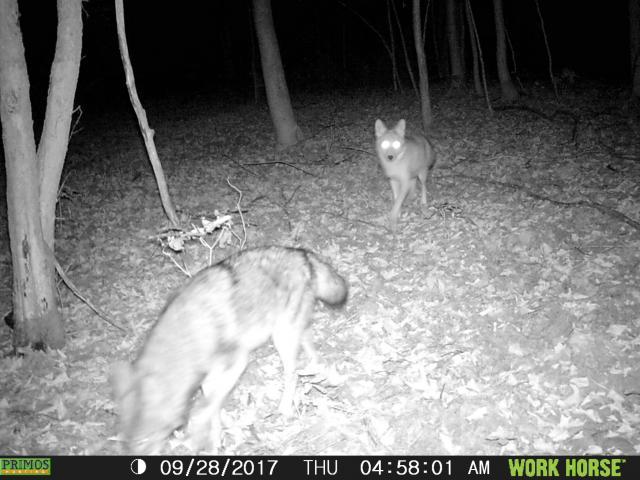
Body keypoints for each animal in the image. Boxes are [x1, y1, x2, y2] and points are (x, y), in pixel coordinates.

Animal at [111, 246, 348, 454]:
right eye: (126, 444)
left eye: (143, 442)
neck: (192, 331)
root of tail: (301, 253)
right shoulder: (208, 379)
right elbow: (213, 408)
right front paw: (215, 440)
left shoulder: (237, 362)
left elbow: (203, 410)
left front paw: (198, 438)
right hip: (290, 330)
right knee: (310, 349)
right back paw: (317, 369)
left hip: (282, 337)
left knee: (293, 373)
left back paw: (285, 408)